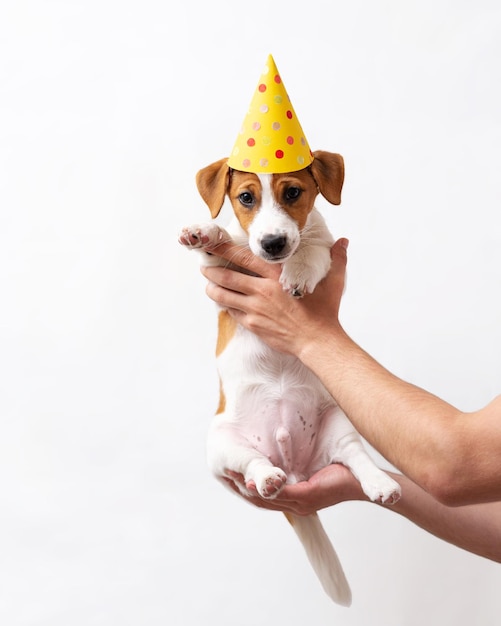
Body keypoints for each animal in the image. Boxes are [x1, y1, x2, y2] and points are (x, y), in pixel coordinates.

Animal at [178, 149, 400, 604]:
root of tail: (295, 468)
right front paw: (203, 230)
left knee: (355, 457)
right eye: (246, 198)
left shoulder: (326, 250)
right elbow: (220, 248)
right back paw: (267, 478)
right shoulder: (223, 275)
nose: (273, 244)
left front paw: (296, 273)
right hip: (221, 446)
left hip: (339, 423)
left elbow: (312, 251)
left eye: (293, 193)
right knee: (251, 462)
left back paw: (379, 483)